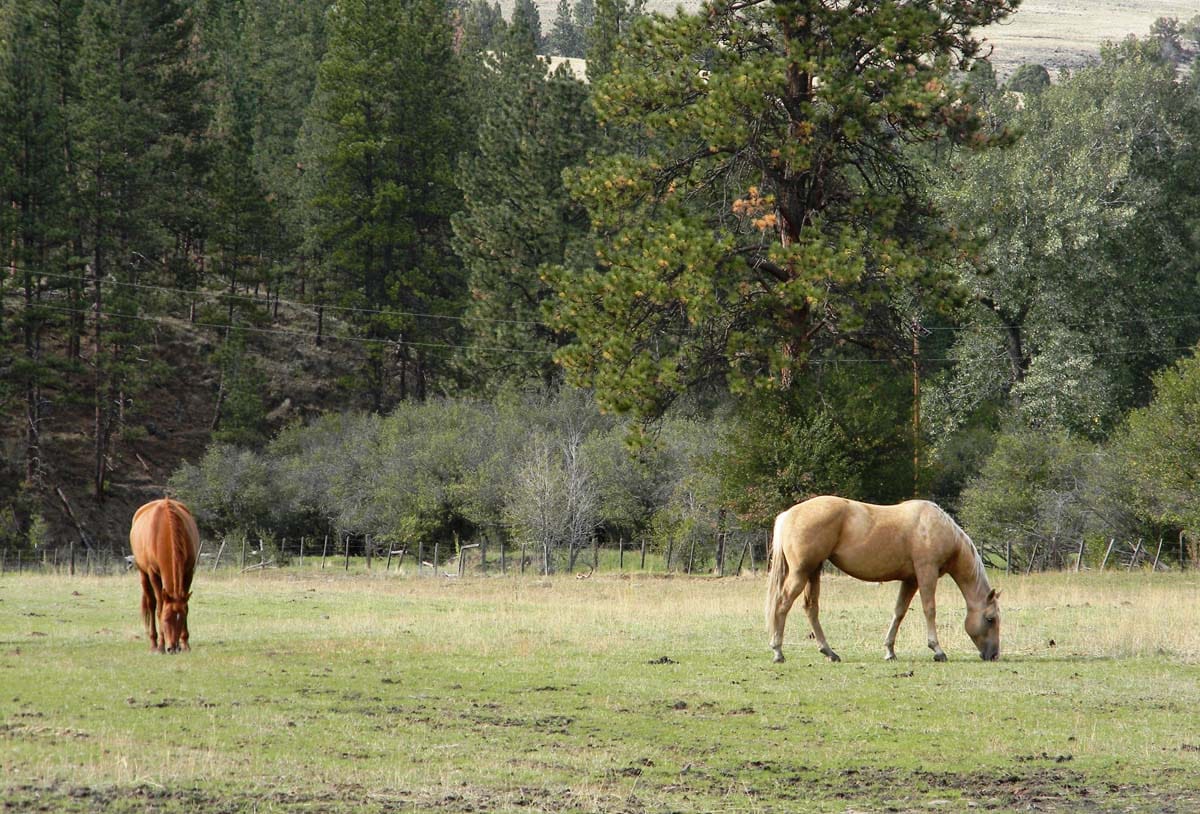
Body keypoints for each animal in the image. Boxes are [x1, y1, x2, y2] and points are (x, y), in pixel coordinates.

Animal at [129, 498, 199, 653]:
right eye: (166, 619)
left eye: (182, 617)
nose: (172, 648)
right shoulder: (153, 573)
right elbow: (159, 607)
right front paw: (161, 644)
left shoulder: (188, 572)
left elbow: (186, 604)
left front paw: (185, 644)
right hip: (143, 574)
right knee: (152, 604)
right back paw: (154, 643)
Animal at [765, 496, 1000, 663]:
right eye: (991, 619)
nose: (994, 655)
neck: (935, 527)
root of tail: (788, 514)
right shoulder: (926, 573)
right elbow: (929, 609)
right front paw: (938, 650)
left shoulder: (911, 580)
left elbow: (899, 612)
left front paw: (889, 651)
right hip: (801, 573)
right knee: (782, 604)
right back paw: (778, 652)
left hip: (812, 572)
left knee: (811, 608)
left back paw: (829, 652)